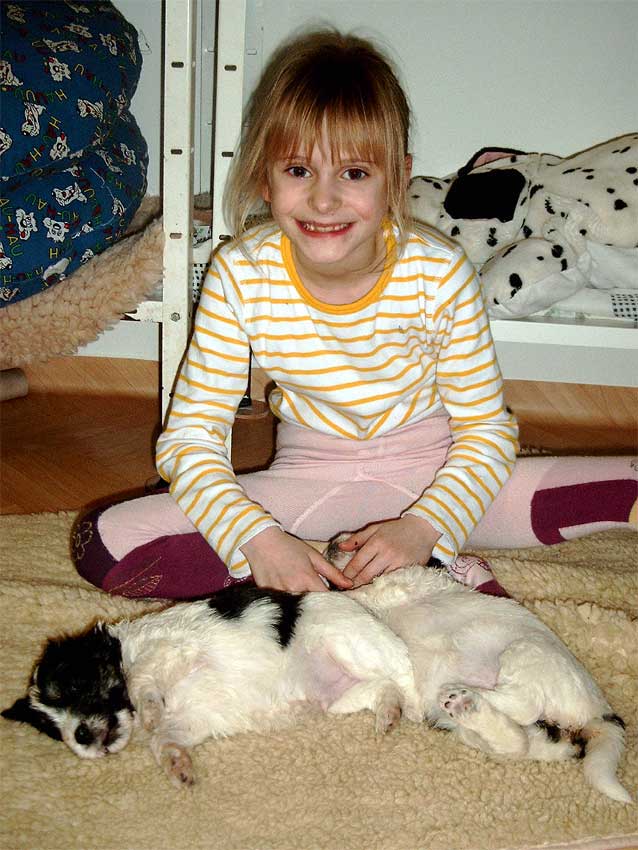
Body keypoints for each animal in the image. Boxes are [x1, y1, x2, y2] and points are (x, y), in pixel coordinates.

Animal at [2, 539, 631, 802]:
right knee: (512, 739)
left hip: (522, 657)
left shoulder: (171, 649)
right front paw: (176, 764)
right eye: (53, 727)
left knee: (512, 699)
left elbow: (148, 688)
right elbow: (167, 739)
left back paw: (444, 693)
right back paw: (421, 707)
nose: (83, 739)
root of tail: (597, 711)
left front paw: (149, 708)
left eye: (75, 689)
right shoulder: (190, 717)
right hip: (420, 712)